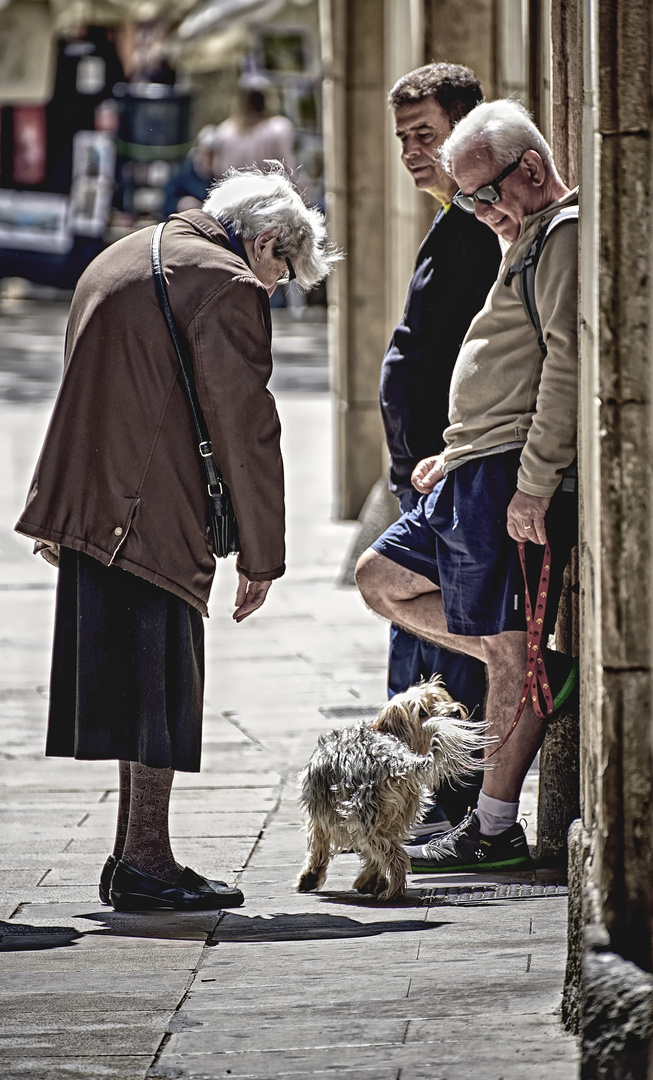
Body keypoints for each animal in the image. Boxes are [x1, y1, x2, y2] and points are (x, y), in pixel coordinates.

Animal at [295, 673, 483, 902]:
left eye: (439, 699)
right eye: (422, 712)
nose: (454, 712)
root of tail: (397, 759)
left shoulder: (322, 817)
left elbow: (318, 847)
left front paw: (310, 878)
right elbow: (371, 857)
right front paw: (369, 881)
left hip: (364, 818)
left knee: (395, 856)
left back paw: (393, 893)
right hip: (384, 818)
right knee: (387, 850)